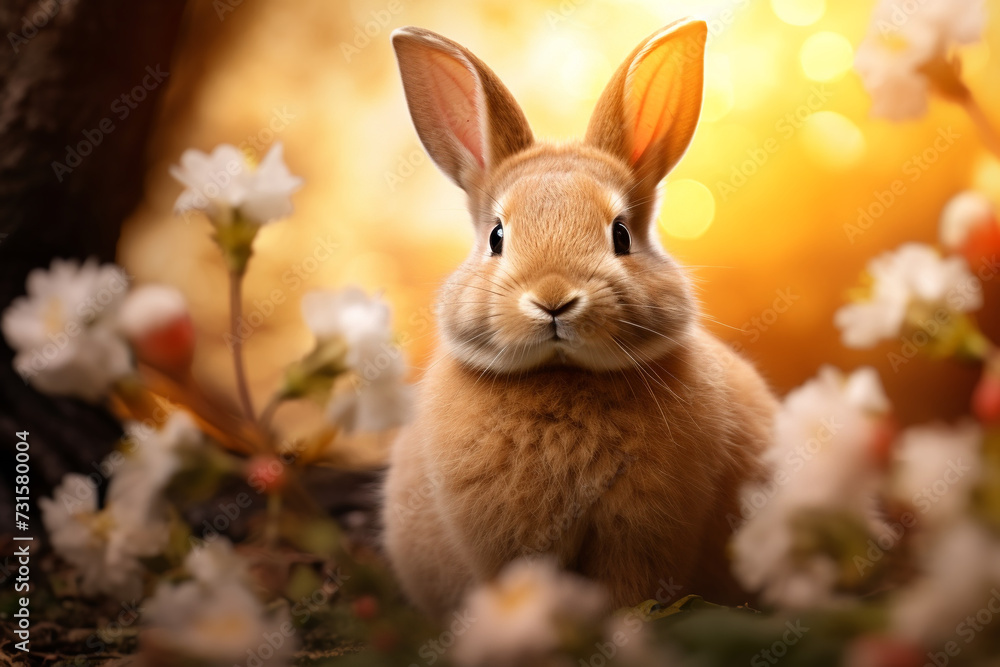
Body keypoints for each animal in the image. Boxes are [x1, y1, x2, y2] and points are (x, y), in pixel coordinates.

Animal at [382, 19, 778, 618]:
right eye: (496, 236)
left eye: (621, 234)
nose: (553, 298)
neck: (563, 375)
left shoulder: (643, 530)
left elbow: (631, 589)